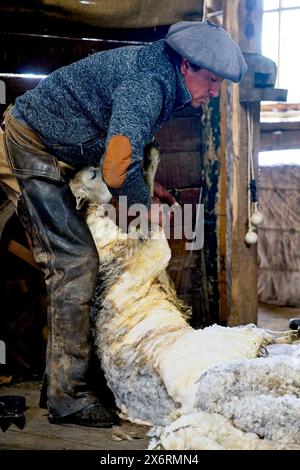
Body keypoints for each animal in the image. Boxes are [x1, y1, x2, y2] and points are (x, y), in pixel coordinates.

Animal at [69, 163, 300, 450]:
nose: (88, 170)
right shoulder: (151, 251)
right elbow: (153, 227)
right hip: (234, 344)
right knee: (263, 339)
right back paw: (291, 337)